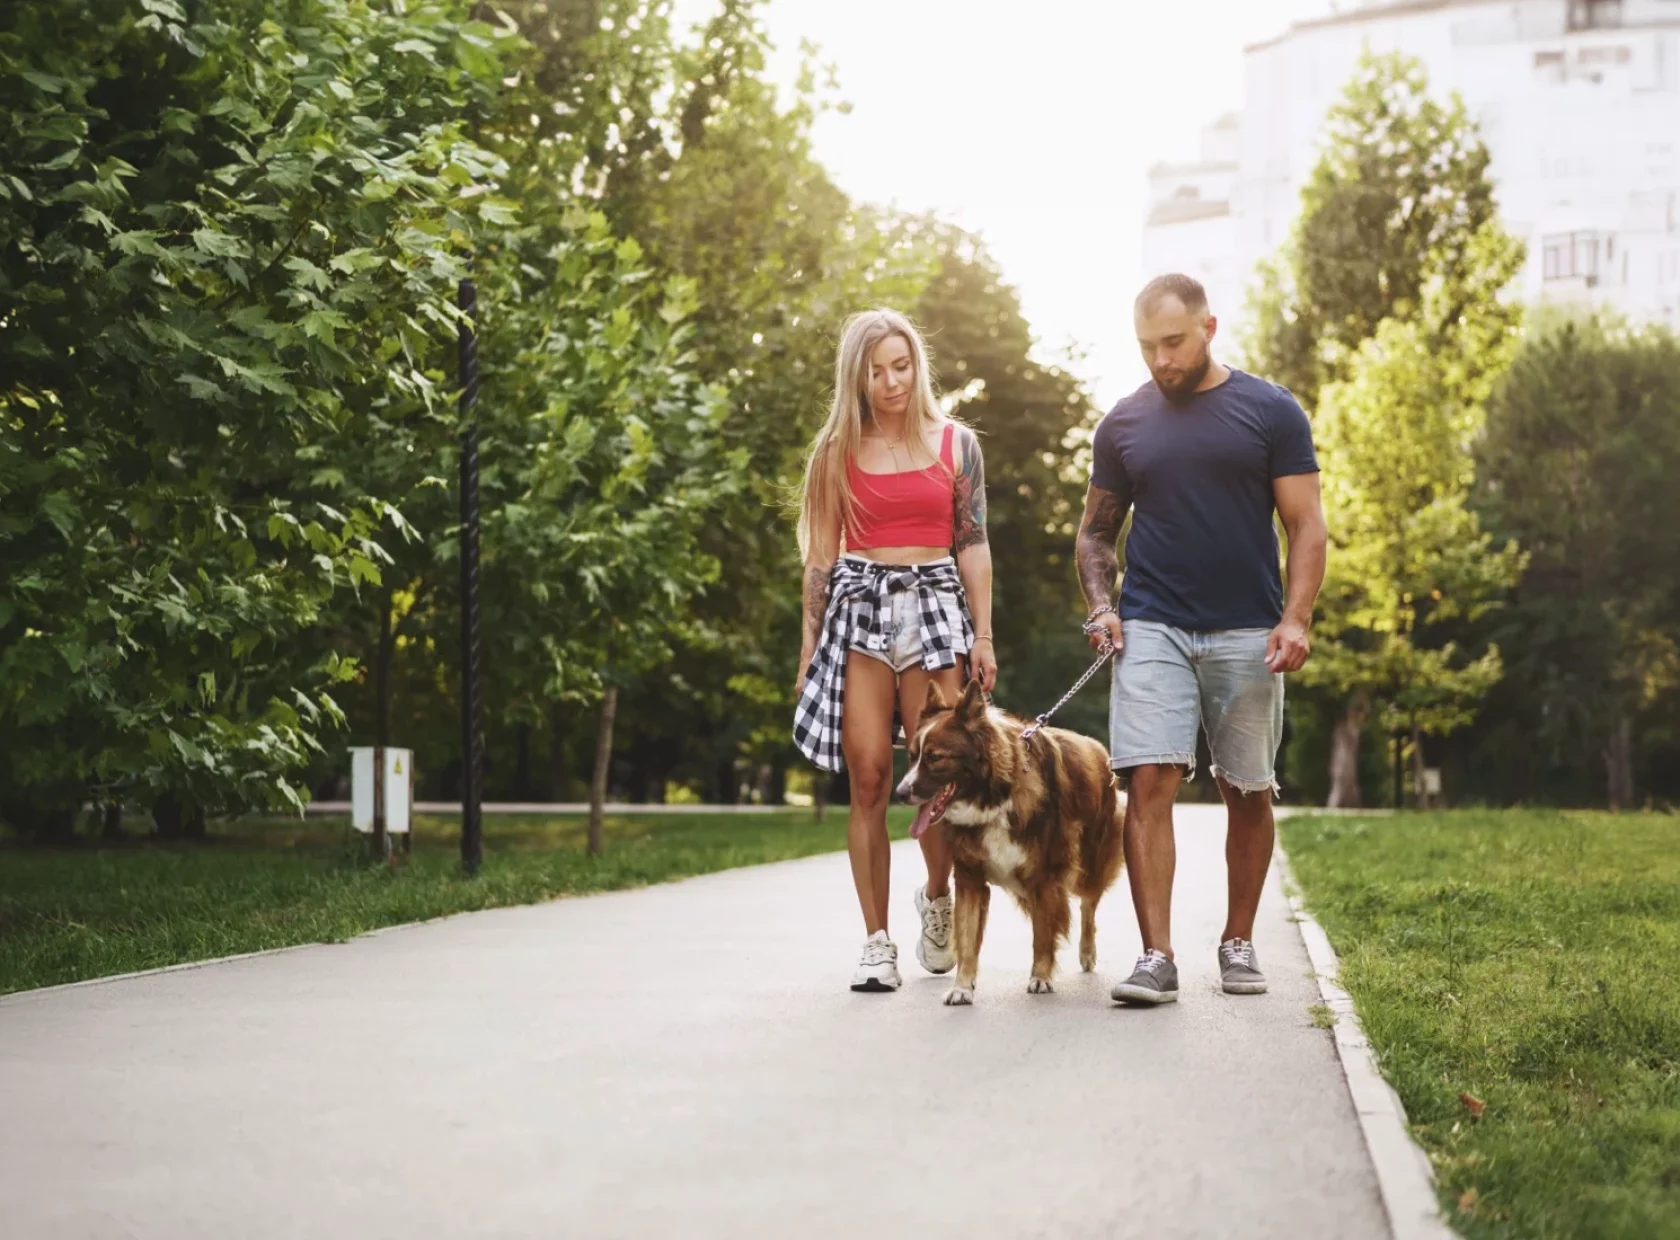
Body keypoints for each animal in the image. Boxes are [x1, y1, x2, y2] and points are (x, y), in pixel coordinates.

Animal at [900, 675, 1122, 1008]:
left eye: (935, 758)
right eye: (912, 756)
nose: (900, 793)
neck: (995, 796)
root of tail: (1097, 747)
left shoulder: (1044, 877)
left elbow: (1042, 934)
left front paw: (1040, 977)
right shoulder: (970, 879)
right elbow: (967, 937)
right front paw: (962, 986)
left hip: (1092, 861)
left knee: (1088, 904)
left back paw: (1086, 952)